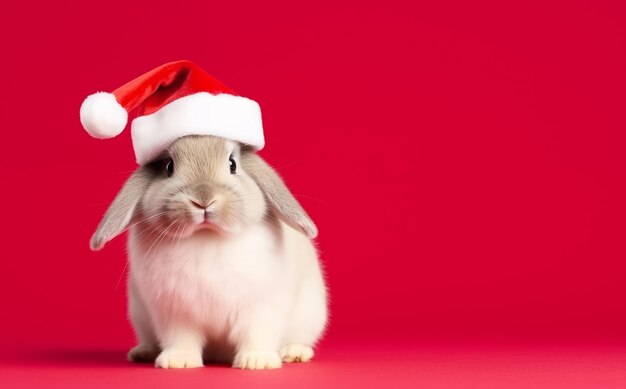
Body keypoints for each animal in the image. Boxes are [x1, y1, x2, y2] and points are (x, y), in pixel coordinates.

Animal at [91, 135, 332, 368]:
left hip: (310, 316)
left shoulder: (260, 308)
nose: (203, 200)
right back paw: (144, 352)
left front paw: (257, 362)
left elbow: (256, 334)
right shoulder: (175, 313)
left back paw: (294, 353)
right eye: (169, 167)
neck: (206, 236)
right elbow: (181, 338)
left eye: (232, 164)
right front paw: (178, 361)